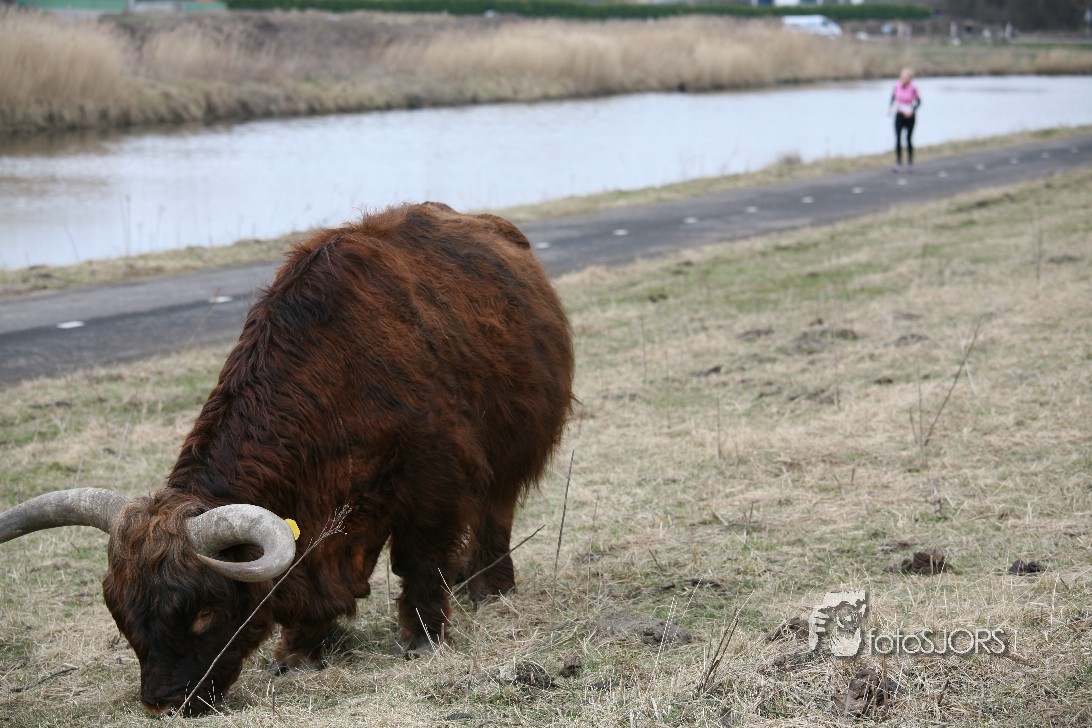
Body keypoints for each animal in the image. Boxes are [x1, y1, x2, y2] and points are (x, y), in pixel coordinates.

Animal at [0, 202, 574, 715]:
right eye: (122, 615)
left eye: (204, 612)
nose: (162, 705)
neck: (343, 376)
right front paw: (300, 650)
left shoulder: (435, 483)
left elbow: (419, 561)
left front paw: (422, 638)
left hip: (511, 453)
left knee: (495, 515)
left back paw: (489, 586)